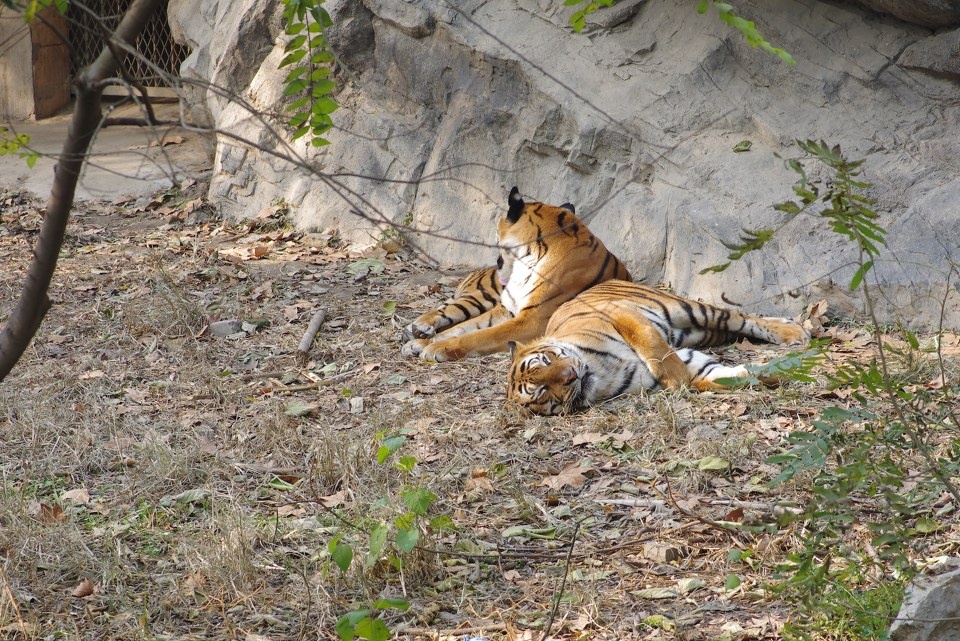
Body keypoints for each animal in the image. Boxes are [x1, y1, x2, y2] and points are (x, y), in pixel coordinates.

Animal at [401, 186, 631, 362]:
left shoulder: (533, 321)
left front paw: (436, 348)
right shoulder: (506, 310)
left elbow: (479, 335)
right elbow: (462, 328)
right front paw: (421, 343)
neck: (527, 258)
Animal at [507, 280, 809, 415]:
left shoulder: (619, 312)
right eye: (542, 391)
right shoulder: (696, 365)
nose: (571, 375)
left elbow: (652, 344)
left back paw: (793, 331)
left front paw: (676, 378)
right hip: (700, 332)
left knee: (740, 317)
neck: (604, 373)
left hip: (690, 310)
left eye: (547, 359)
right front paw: (781, 372)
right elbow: (725, 376)